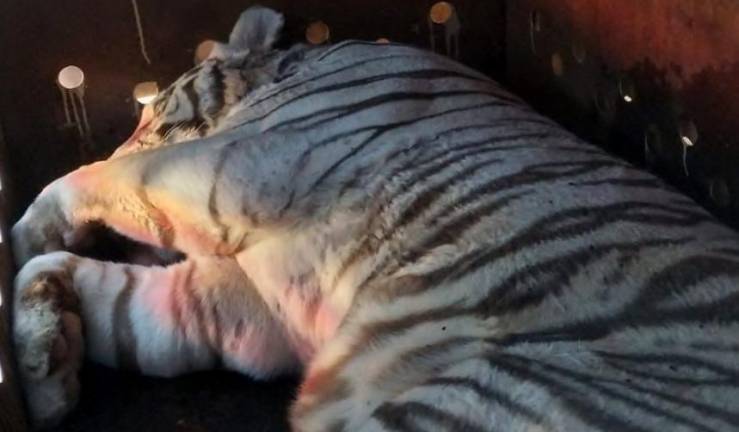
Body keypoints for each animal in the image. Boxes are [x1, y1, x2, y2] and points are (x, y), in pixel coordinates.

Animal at [10, 5, 739, 430]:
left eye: (152, 119)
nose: (126, 136)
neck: (289, 72)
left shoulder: (244, 166)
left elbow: (108, 180)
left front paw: (27, 230)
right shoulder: (252, 305)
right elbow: (123, 305)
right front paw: (44, 348)